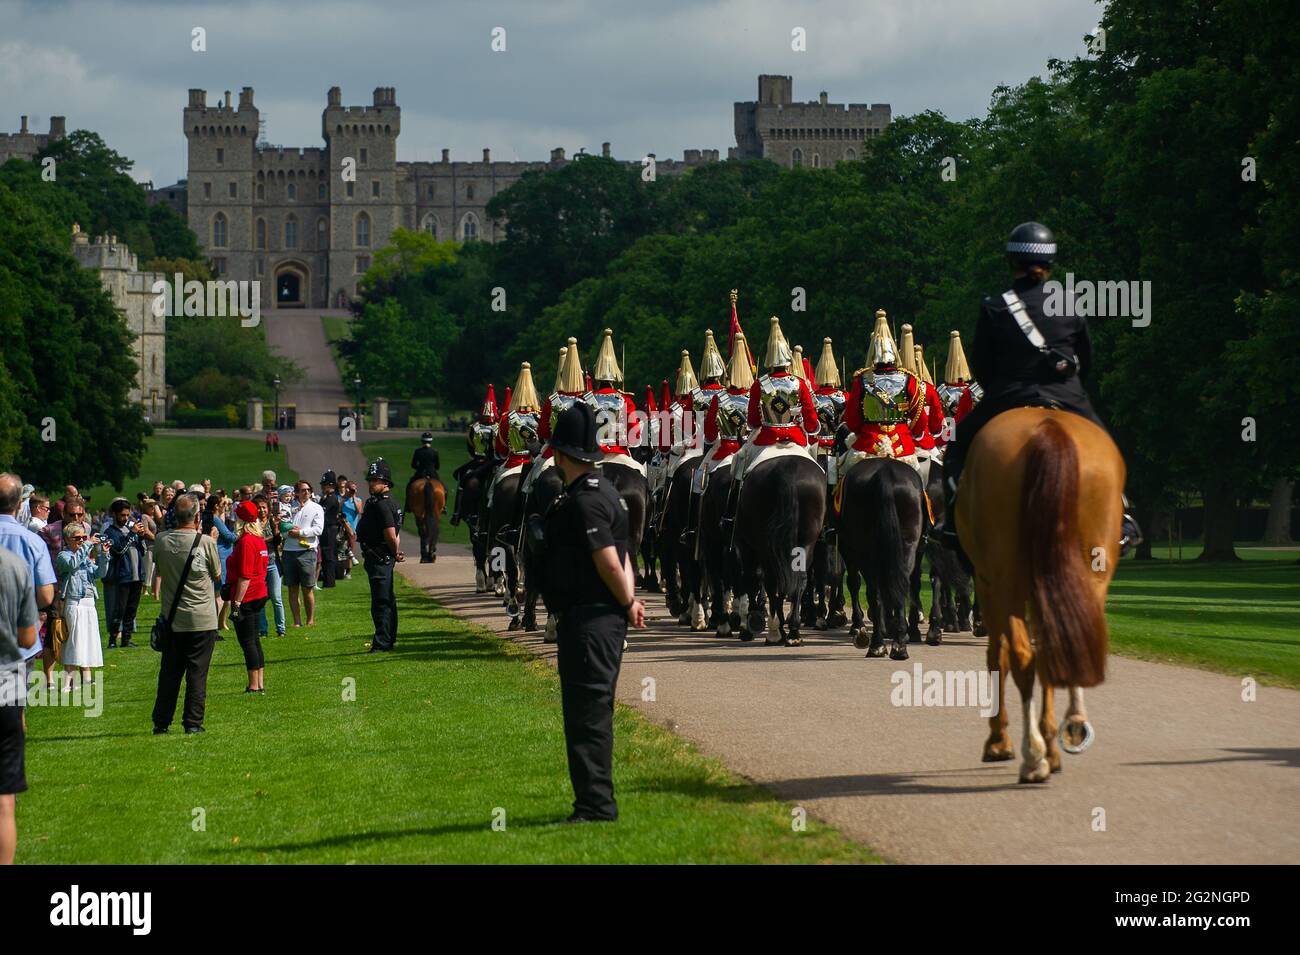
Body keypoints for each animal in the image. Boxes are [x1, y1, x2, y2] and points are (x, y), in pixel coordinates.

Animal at [733, 452, 821, 647]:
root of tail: (789, 468)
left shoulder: (746, 546)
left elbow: (753, 579)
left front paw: (751, 625)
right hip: (806, 542)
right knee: (798, 579)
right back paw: (793, 631)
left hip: (763, 545)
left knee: (770, 580)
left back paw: (774, 631)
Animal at [837, 459, 930, 660]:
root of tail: (885, 473)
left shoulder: (848, 551)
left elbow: (854, 583)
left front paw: (859, 626)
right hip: (908, 547)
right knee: (901, 585)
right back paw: (900, 644)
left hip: (864, 552)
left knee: (874, 592)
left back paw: (877, 643)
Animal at [956, 407, 1128, 789]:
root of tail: (1048, 427)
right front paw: (1053, 745)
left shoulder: (987, 584)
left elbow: (998, 656)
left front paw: (999, 741)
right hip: (1090, 574)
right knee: (1054, 648)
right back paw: (1064, 731)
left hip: (1005, 582)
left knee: (1022, 654)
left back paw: (1032, 757)